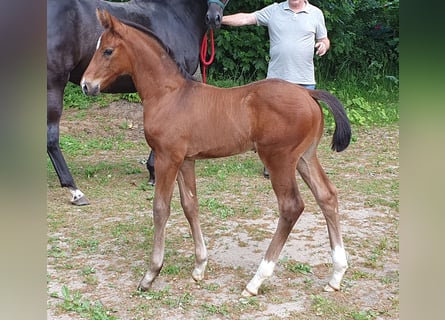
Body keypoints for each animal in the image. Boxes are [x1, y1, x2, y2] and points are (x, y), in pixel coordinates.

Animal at [48, 0, 225, 205]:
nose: (213, 17)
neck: (176, 15)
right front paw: (154, 171)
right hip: (54, 83)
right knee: (51, 138)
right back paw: (75, 190)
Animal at [80, 10, 350, 298]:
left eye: (107, 50)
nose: (86, 85)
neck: (168, 94)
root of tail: (308, 93)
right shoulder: (185, 159)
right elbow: (190, 206)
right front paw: (199, 266)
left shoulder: (166, 158)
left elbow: (160, 208)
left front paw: (151, 274)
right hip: (305, 157)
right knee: (327, 196)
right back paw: (336, 275)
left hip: (279, 159)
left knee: (291, 206)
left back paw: (256, 281)